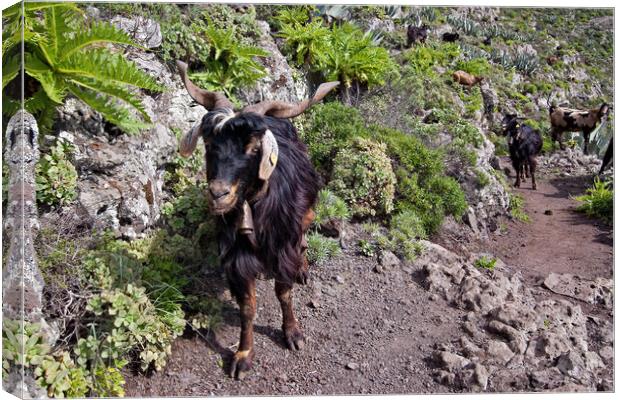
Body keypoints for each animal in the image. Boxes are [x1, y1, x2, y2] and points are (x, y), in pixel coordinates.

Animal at [174, 61, 340, 380]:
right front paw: (243, 355)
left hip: (306, 211)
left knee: (304, 236)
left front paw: (292, 333)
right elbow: (247, 307)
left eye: (253, 148)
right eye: (209, 144)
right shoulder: (237, 257)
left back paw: (303, 268)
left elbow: (283, 291)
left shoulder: (283, 244)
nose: (218, 194)